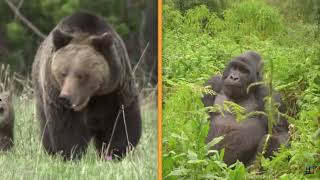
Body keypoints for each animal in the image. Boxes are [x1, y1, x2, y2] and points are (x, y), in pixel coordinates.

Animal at [31, 11, 141, 160]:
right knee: (45, 127)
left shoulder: (114, 90)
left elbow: (120, 121)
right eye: (63, 73)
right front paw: (71, 153)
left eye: (82, 75)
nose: (66, 97)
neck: (91, 97)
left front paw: (114, 152)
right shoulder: (56, 94)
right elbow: (67, 127)